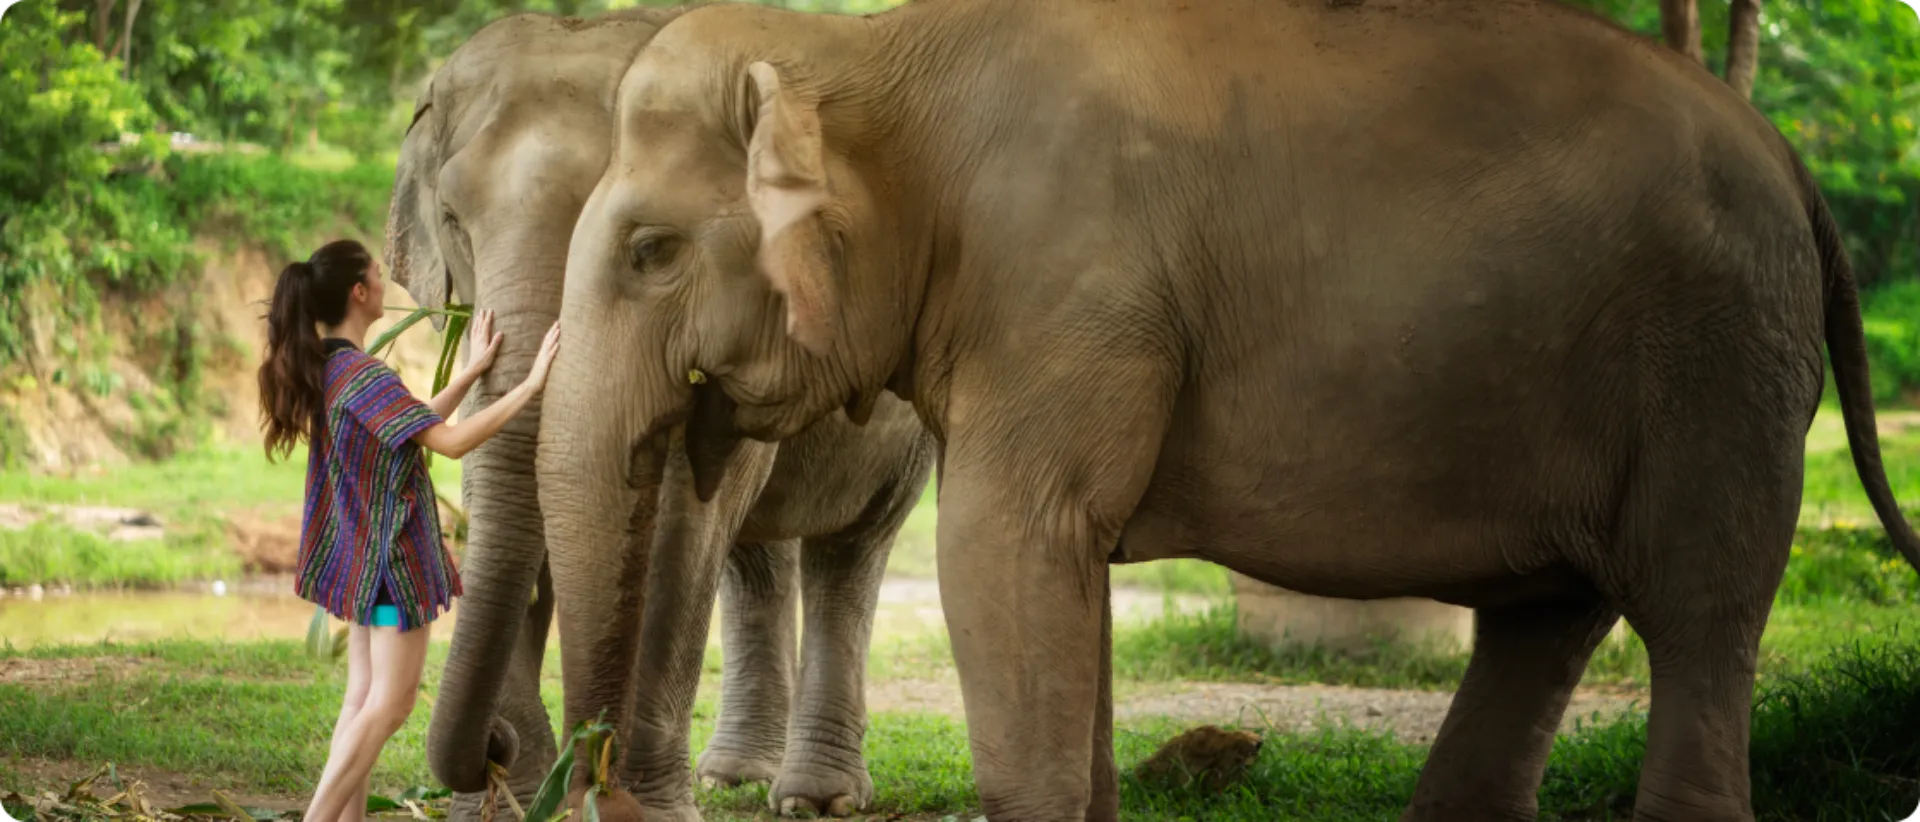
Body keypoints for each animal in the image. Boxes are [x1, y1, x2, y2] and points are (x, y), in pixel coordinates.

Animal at [382, 8, 936, 820]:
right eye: (452, 218)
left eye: (642, 244)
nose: (495, 747)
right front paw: (517, 799)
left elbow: (681, 524)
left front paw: (636, 804)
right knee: (756, 560)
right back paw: (732, 777)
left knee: (849, 551)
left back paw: (815, 797)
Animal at [545, 0, 1920, 821]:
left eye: (652, 253)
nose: (580, 779)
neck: (877, 54)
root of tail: (1789, 160)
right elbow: (1064, 570)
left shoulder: (1068, 286)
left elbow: (1007, 545)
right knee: (1546, 614)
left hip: (1718, 364)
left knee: (1695, 607)